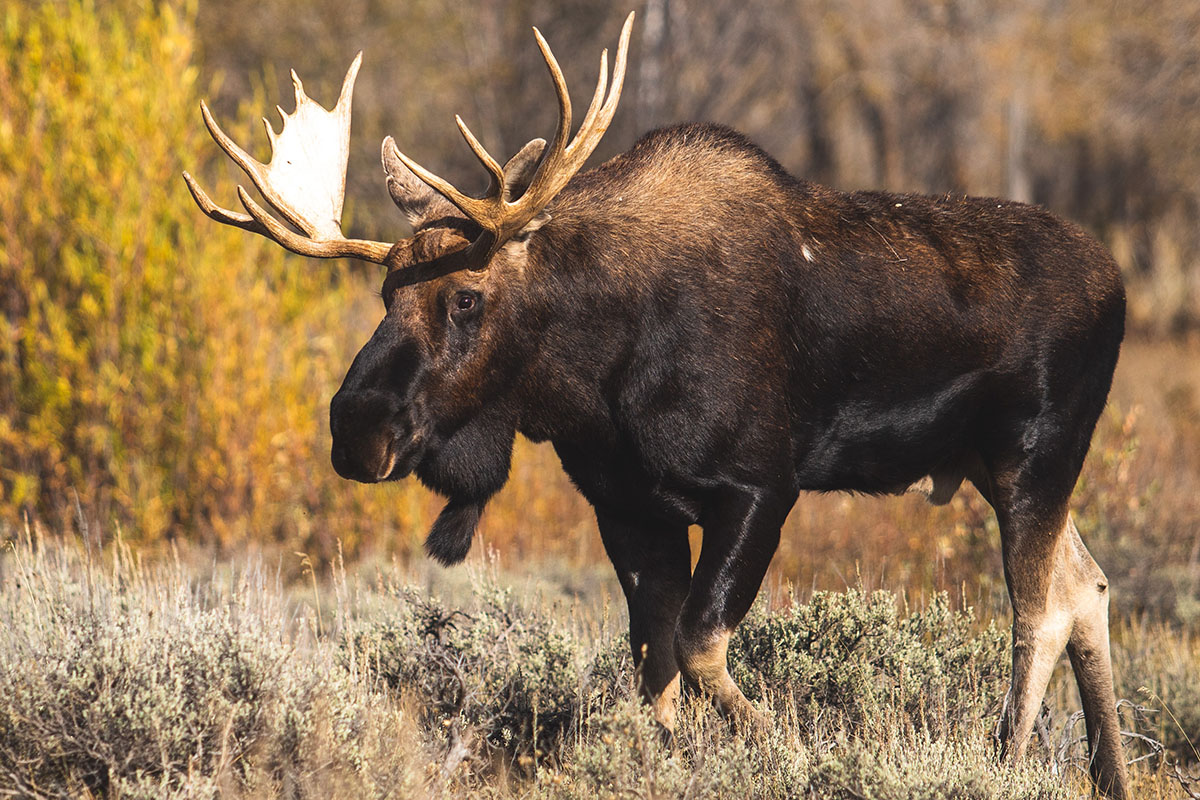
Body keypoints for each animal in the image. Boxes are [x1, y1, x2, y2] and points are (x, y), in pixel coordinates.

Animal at [184, 13, 1131, 797]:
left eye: (467, 297)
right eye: (386, 292)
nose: (357, 427)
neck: (595, 380)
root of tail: (1119, 284)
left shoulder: (759, 487)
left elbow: (701, 644)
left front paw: (787, 751)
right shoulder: (628, 506)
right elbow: (655, 667)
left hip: (1034, 454)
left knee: (1039, 608)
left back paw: (1005, 758)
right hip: (988, 463)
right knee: (1086, 584)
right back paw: (1108, 777)